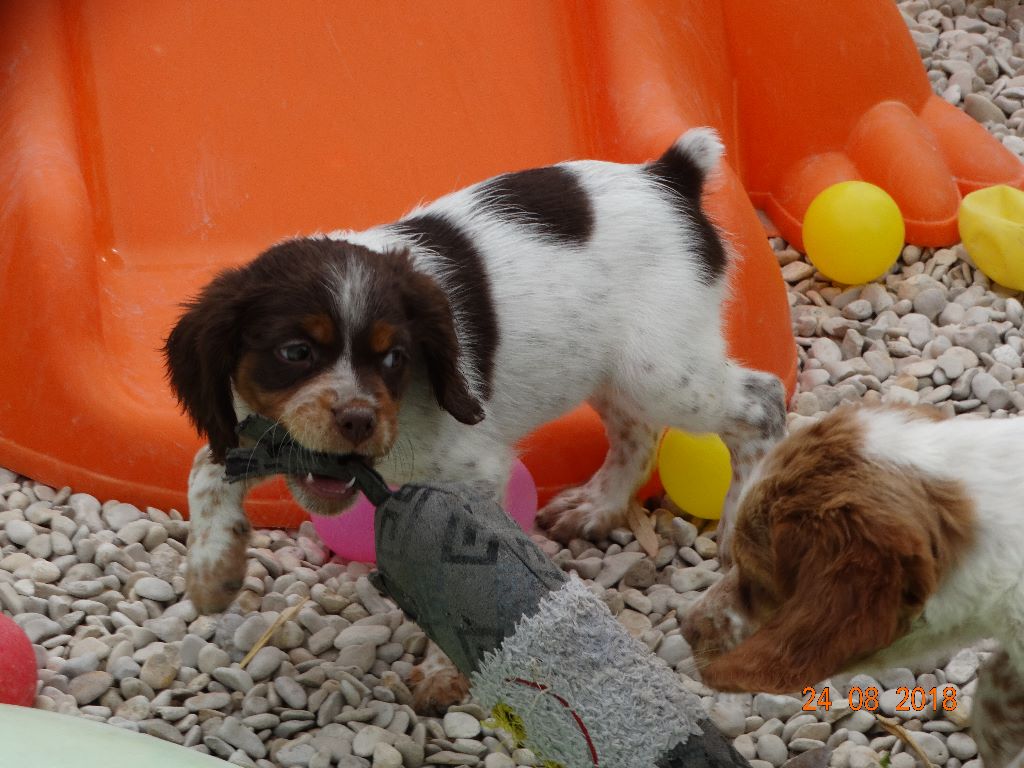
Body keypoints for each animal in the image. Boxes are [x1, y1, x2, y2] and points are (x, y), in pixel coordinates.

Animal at [165, 127, 787, 711]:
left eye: (394, 358)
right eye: (295, 353)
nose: (358, 422)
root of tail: (668, 174)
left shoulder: (474, 472)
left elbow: (452, 572)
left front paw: (446, 671)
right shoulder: (258, 432)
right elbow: (204, 469)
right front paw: (212, 572)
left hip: (661, 371)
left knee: (764, 401)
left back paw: (738, 534)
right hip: (608, 370)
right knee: (638, 432)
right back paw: (596, 507)